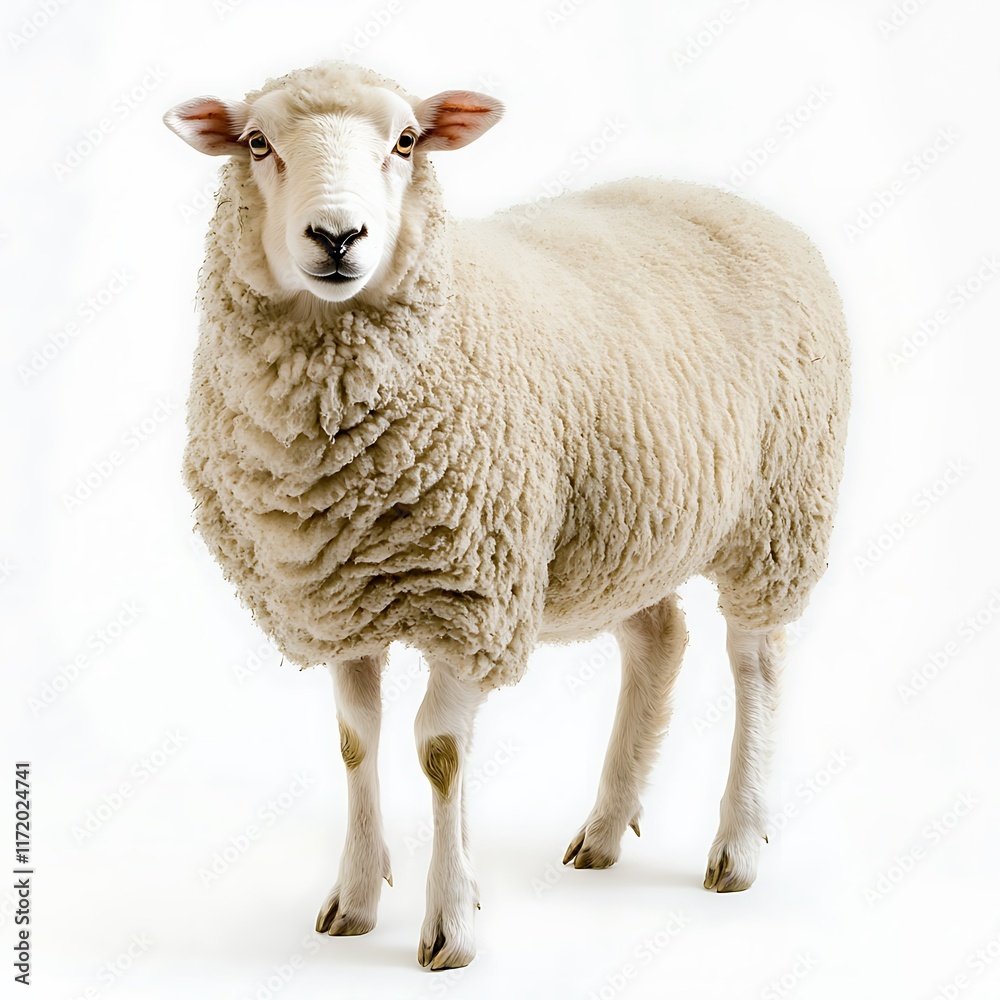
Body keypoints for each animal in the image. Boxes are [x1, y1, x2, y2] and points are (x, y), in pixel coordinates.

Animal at [163, 60, 850, 971]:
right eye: (256, 142)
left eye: (406, 141)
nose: (337, 237)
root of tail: (729, 199)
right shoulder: (340, 596)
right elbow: (355, 739)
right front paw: (356, 897)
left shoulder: (473, 593)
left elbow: (440, 752)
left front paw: (450, 922)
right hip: (626, 524)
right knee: (658, 640)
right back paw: (604, 829)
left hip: (778, 510)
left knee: (756, 660)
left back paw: (737, 844)